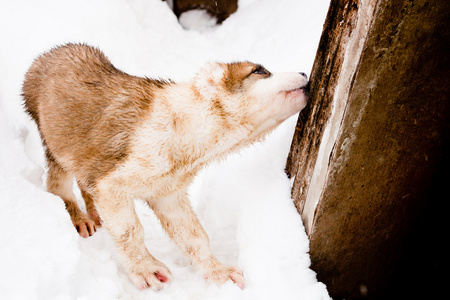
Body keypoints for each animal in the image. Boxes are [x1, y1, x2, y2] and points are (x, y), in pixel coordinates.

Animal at [22, 44, 310, 290]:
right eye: (259, 70)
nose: (305, 72)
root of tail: (42, 59)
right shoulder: (112, 184)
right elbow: (130, 231)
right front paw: (147, 271)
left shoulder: (168, 192)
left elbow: (194, 236)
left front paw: (219, 272)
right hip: (57, 148)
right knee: (58, 187)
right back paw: (81, 220)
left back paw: (94, 214)